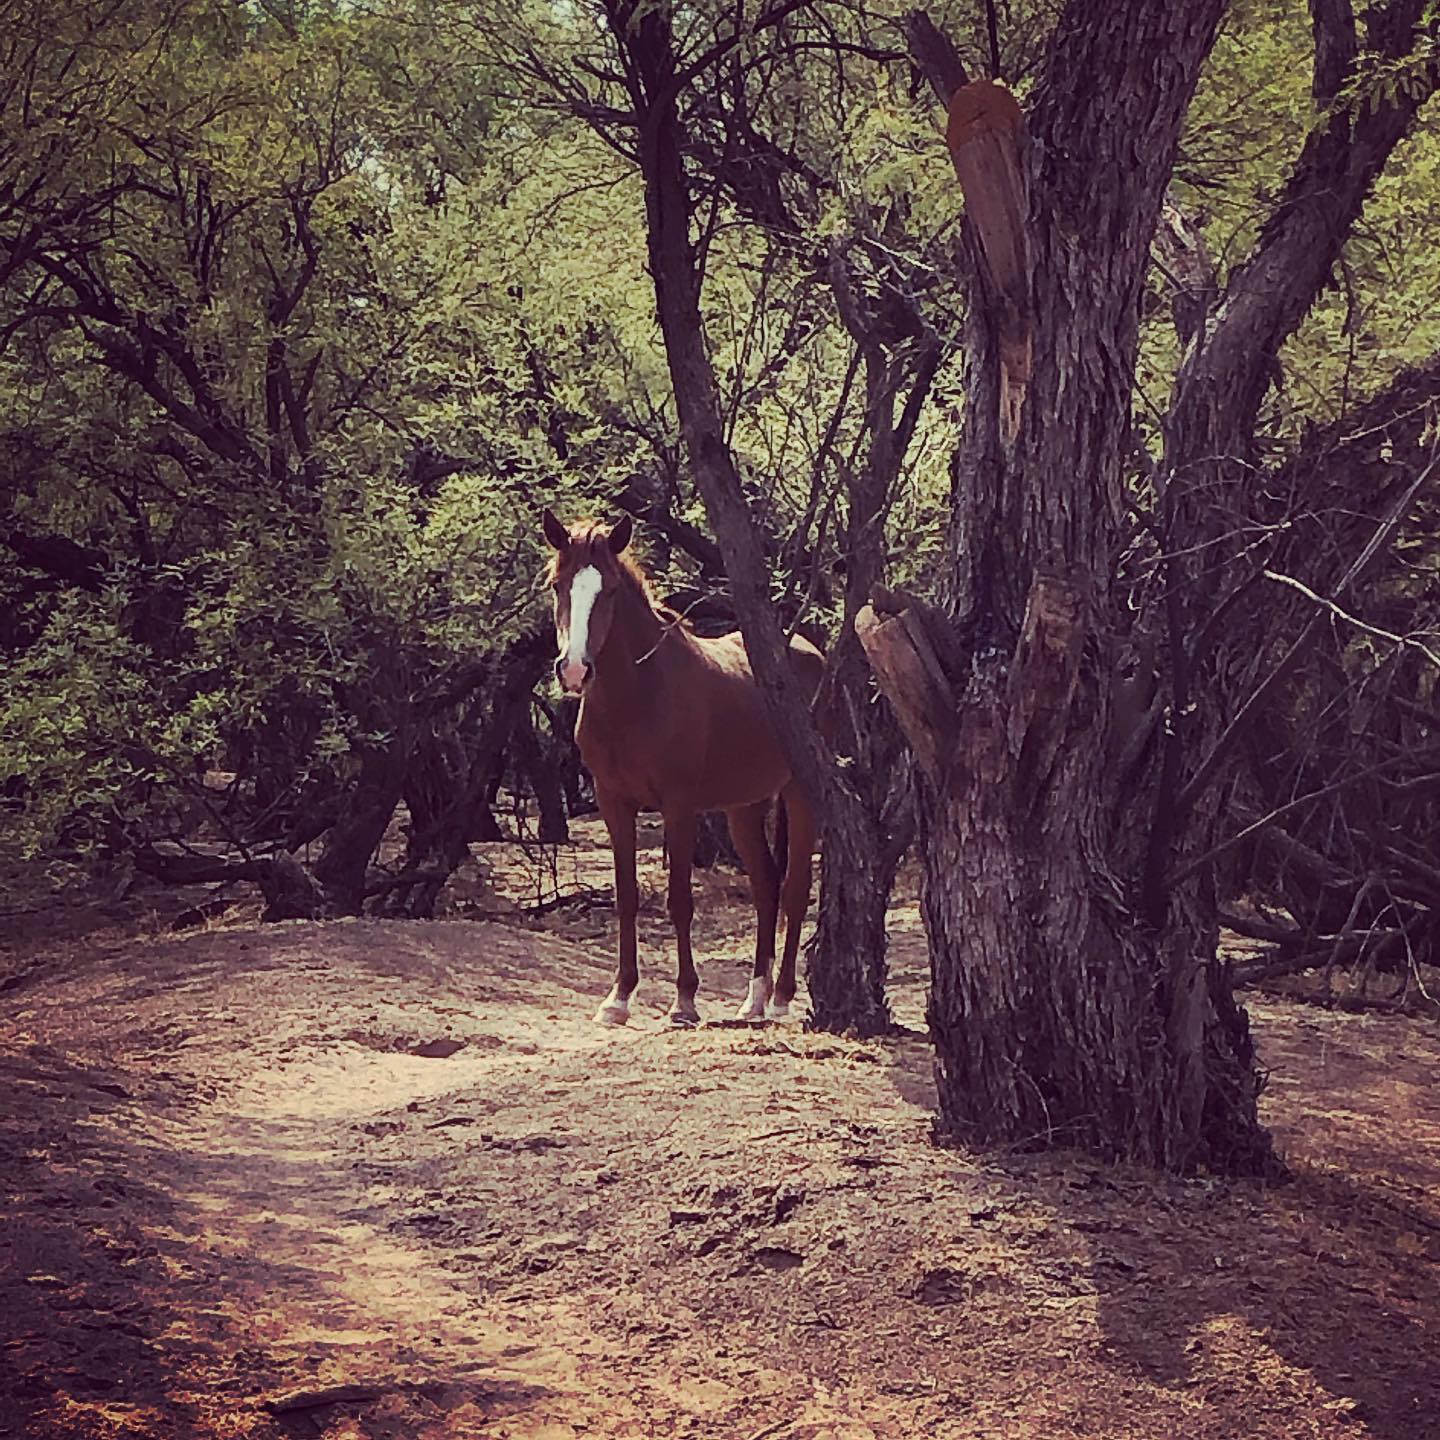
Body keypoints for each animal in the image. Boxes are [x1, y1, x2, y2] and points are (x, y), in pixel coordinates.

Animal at [541, 509, 824, 1027]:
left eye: (610, 589)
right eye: (558, 585)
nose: (573, 671)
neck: (638, 696)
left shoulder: (679, 805)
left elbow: (679, 900)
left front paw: (685, 1000)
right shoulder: (614, 802)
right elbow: (627, 897)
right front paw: (619, 997)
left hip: (800, 792)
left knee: (794, 888)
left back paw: (779, 999)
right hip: (743, 806)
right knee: (766, 886)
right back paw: (754, 997)